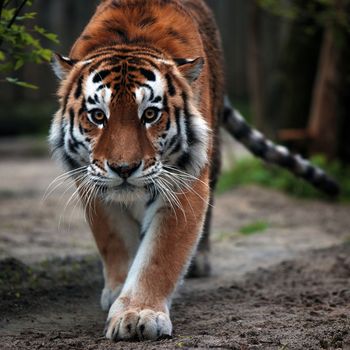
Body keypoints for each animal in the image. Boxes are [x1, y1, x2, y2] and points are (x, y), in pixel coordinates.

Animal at [49, 0, 340, 340]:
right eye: (97, 116)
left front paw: (138, 313)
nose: (124, 168)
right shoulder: (90, 180)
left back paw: (200, 261)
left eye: (150, 114)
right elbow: (113, 239)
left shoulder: (184, 182)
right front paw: (118, 291)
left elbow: (160, 255)